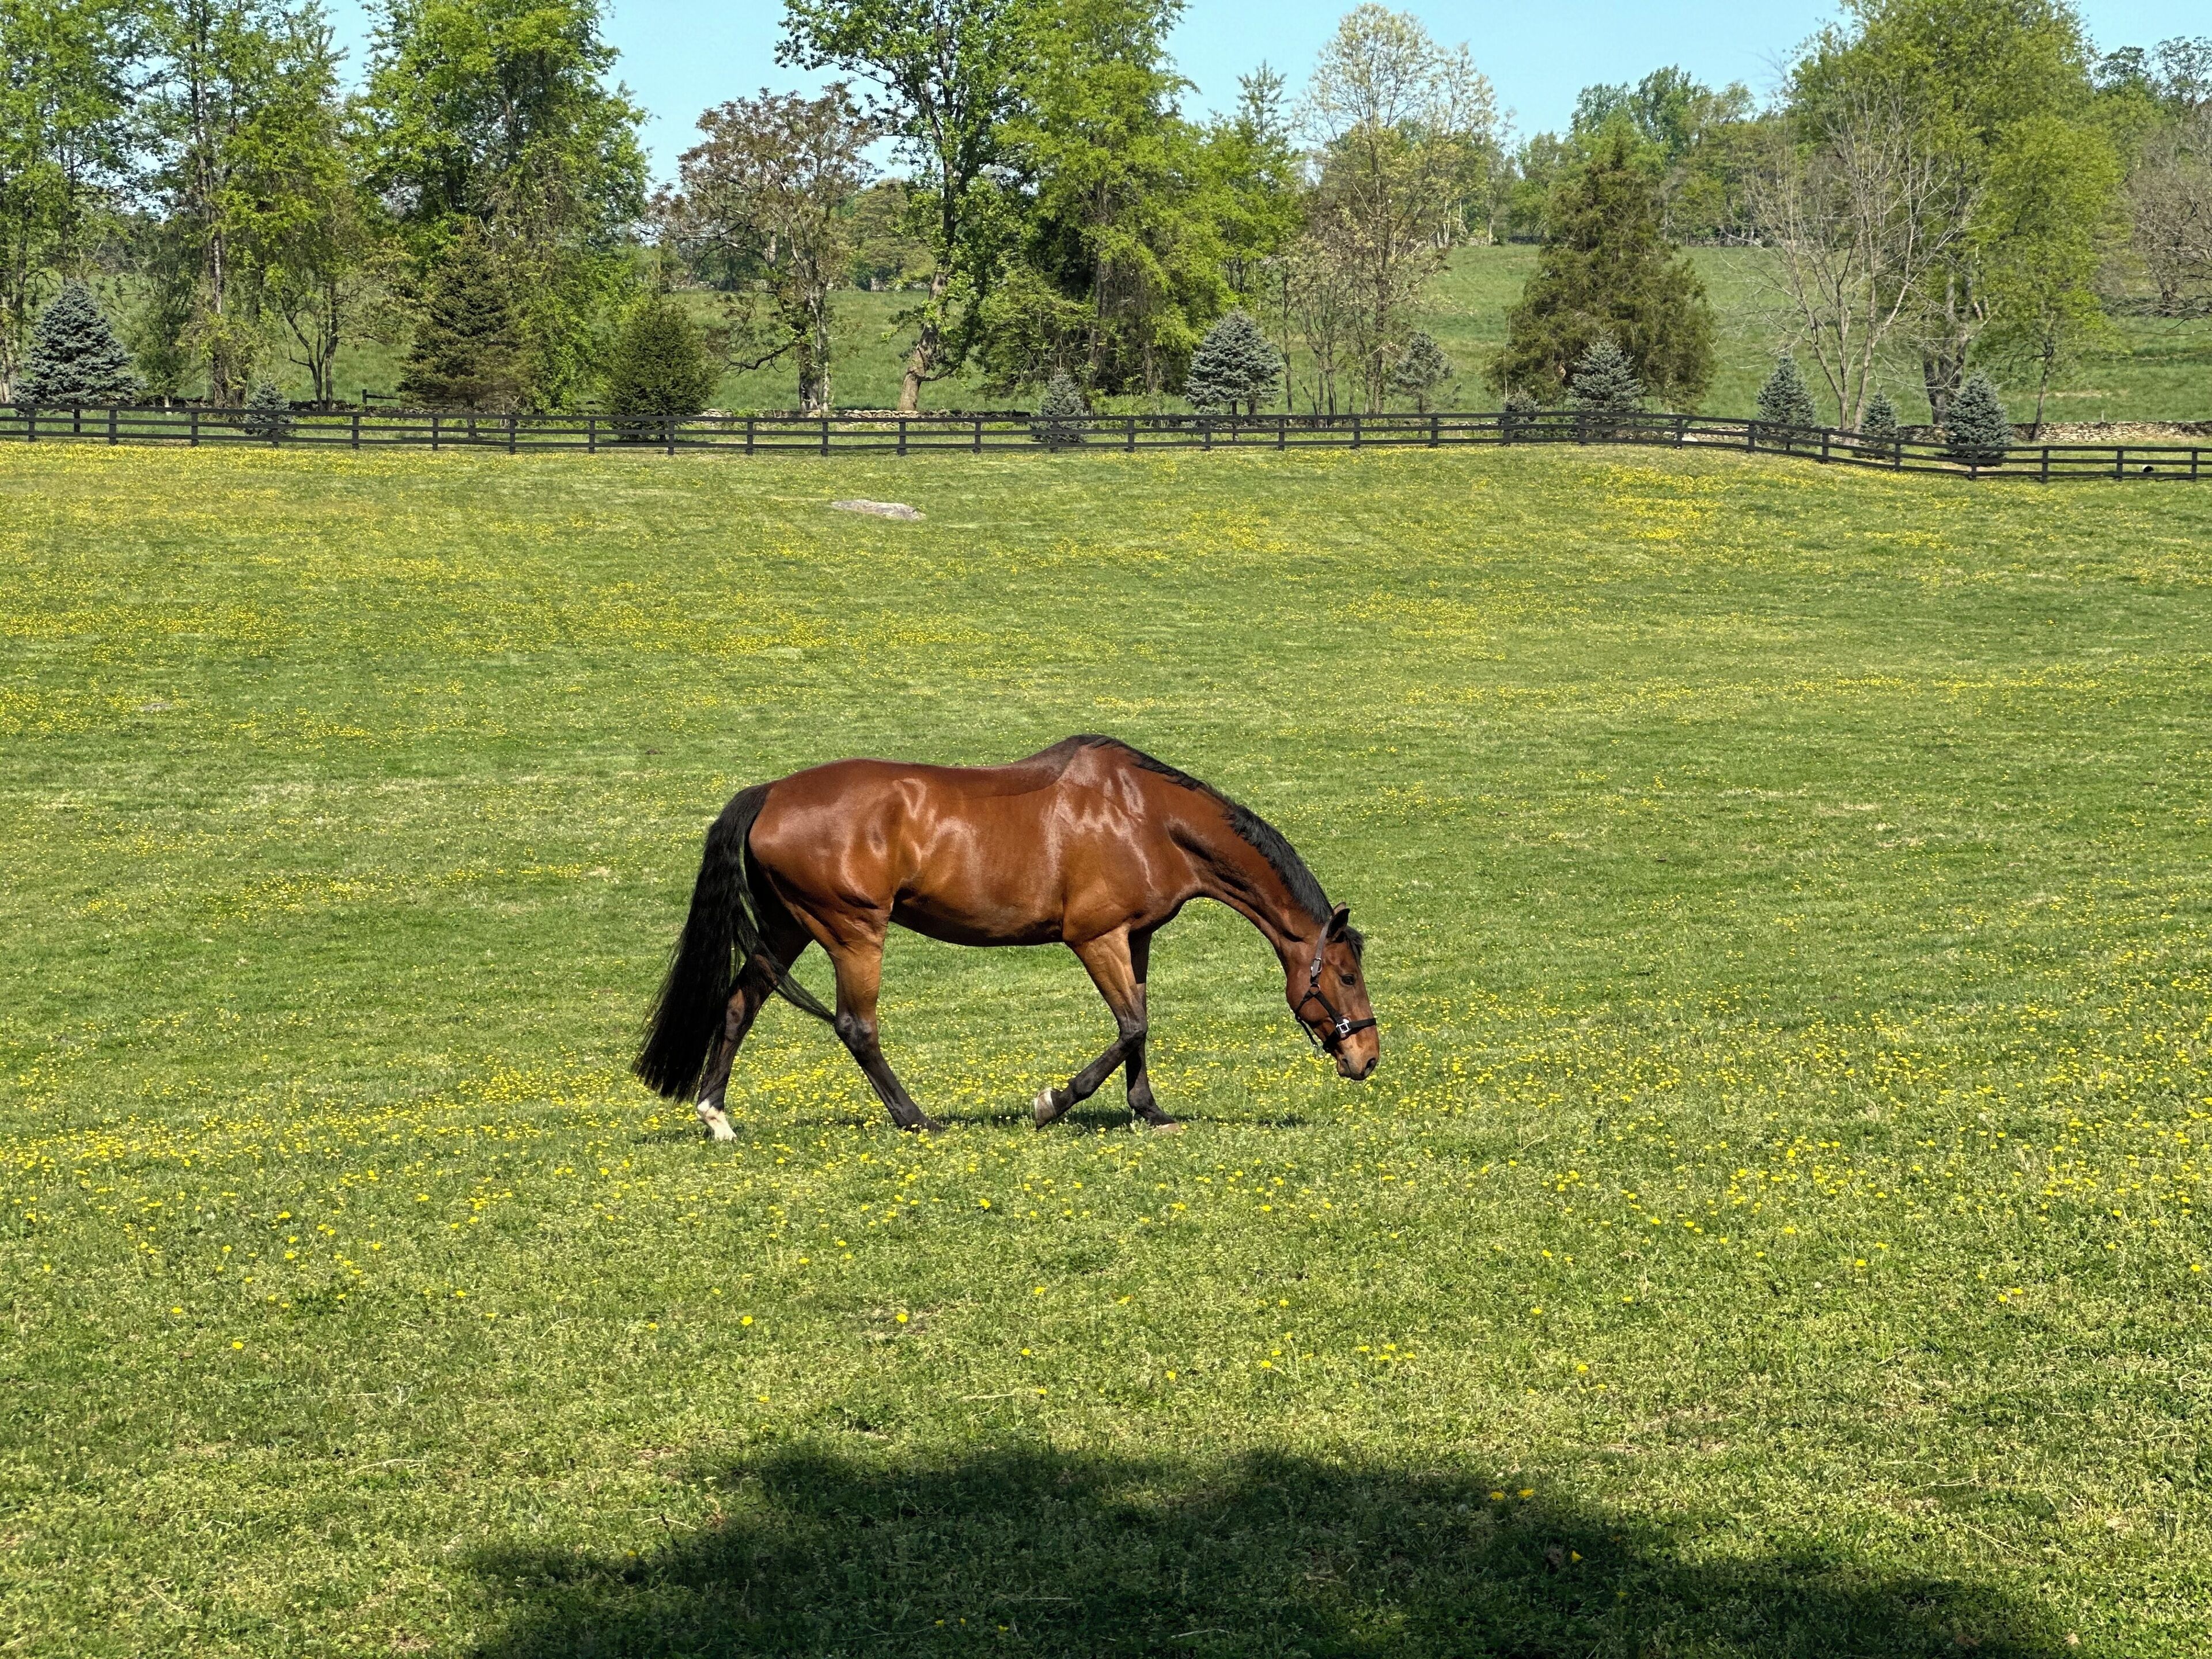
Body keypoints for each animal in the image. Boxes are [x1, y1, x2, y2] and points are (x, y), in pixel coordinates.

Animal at [632, 735, 1379, 1136]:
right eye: (1345, 975)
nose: (1367, 1057)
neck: (1145, 817)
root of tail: (771, 792)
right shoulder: (1095, 938)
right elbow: (1130, 1028)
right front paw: (1051, 1103)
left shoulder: (1134, 939)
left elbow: (1140, 1027)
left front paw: (1149, 1110)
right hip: (851, 932)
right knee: (856, 1027)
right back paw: (916, 1118)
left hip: (788, 928)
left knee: (739, 1006)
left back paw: (716, 1116)